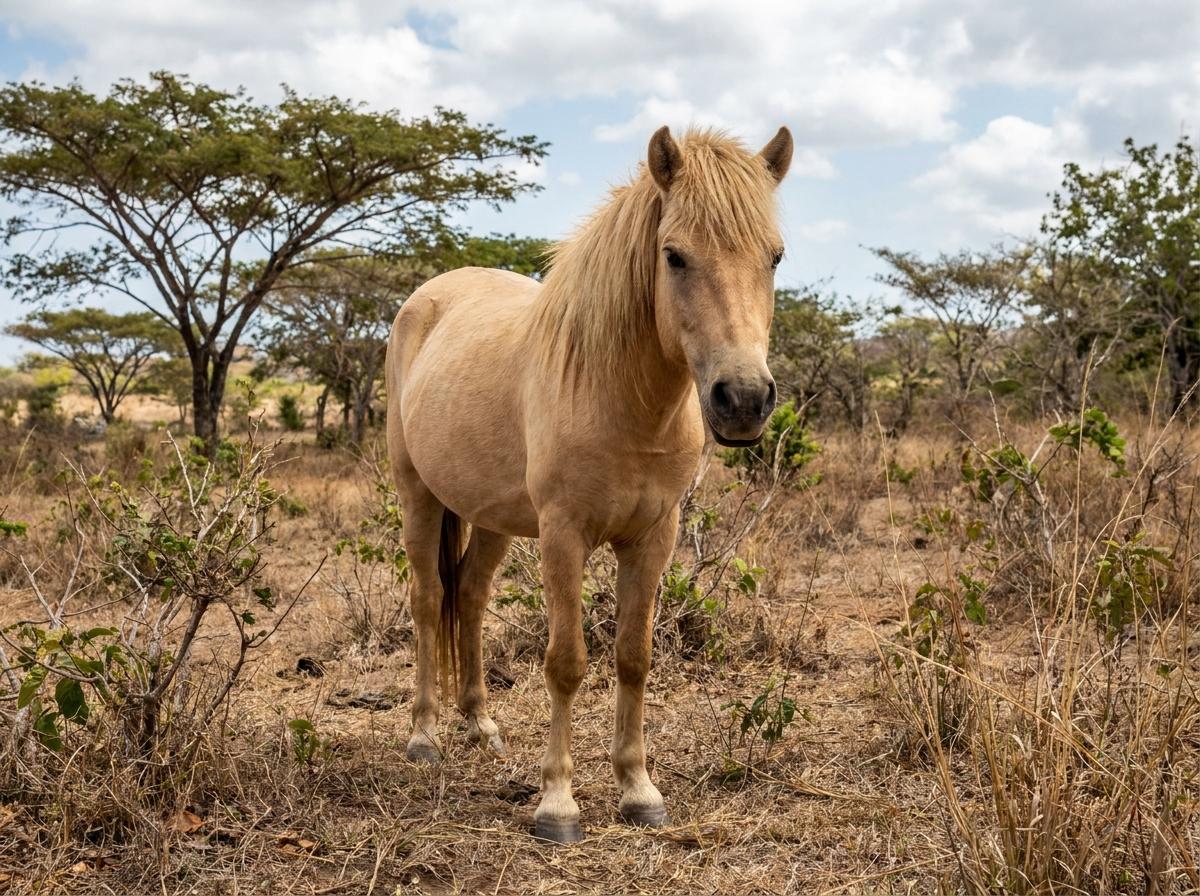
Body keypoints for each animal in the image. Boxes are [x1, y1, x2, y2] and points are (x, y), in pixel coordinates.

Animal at [385, 124, 792, 843]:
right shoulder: (564, 535)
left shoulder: (655, 537)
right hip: (419, 496)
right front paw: (557, 803)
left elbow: (633, 656)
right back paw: (425, 735)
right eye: (674, 256)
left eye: (774, 257)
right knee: (430, 600)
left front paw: (638, 790)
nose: (743, 399)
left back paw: (479, 724)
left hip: (492, 515)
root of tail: (428, 296)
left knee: (471, 596)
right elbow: (567, 662)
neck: (620, 397)